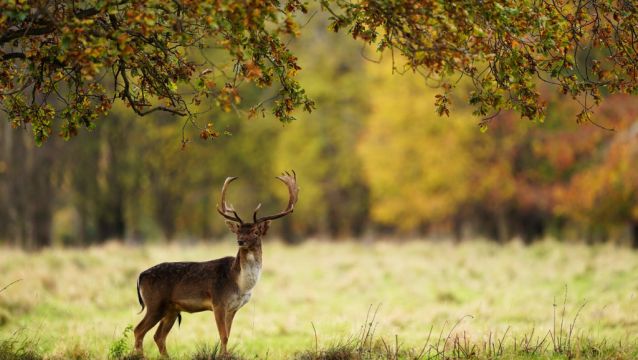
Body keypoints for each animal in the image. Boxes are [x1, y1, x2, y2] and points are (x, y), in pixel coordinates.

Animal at [133, 172, 302, 358]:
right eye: (238, 231)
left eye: (256, 232)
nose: (240, 241)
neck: (240, 283)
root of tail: (141, 275)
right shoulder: (218, 302)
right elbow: (224, 335)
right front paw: (223, 355)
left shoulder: (233, 308)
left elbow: (227, 334)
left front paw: (224, 355)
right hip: (155, 303)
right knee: (138, 330)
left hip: (171, 309)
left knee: (158, 336)